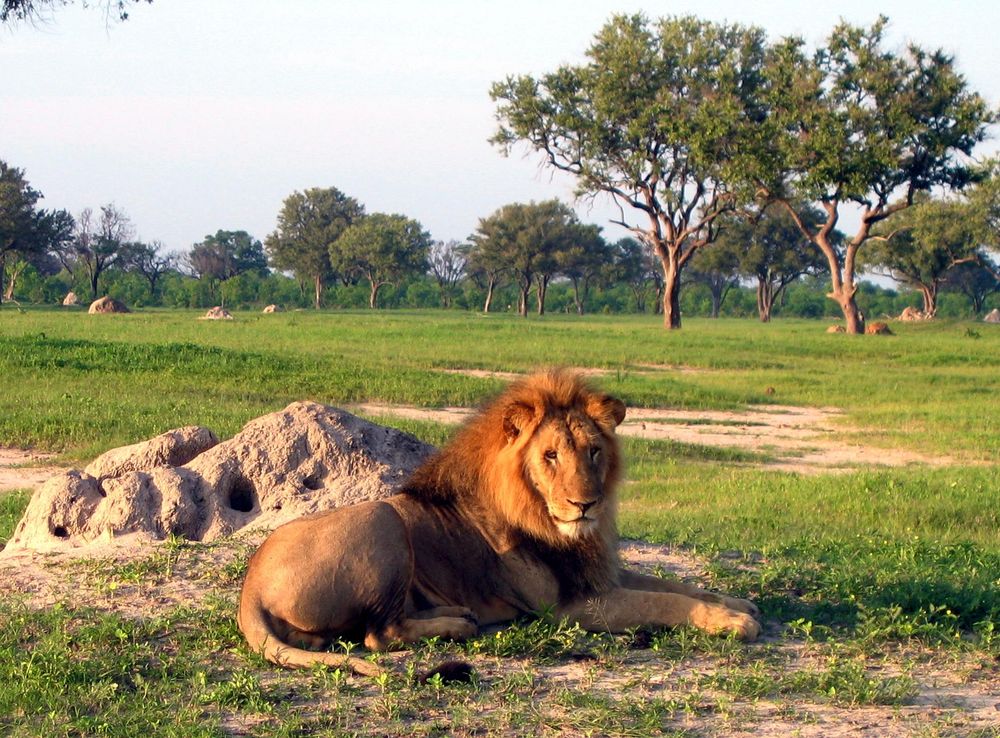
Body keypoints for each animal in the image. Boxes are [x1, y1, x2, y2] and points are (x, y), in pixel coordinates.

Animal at [238, 369, 761, 674]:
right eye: (550, 456)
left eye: (593, 451)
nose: (585, 504)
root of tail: (250, 589)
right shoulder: (567, 607)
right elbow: (662, 602)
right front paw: (733, 622)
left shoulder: (598, 573)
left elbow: (676, 585)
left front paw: (738, 604)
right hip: (381, 517)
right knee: (378, 634)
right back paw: (459, 626)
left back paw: (456, 614)